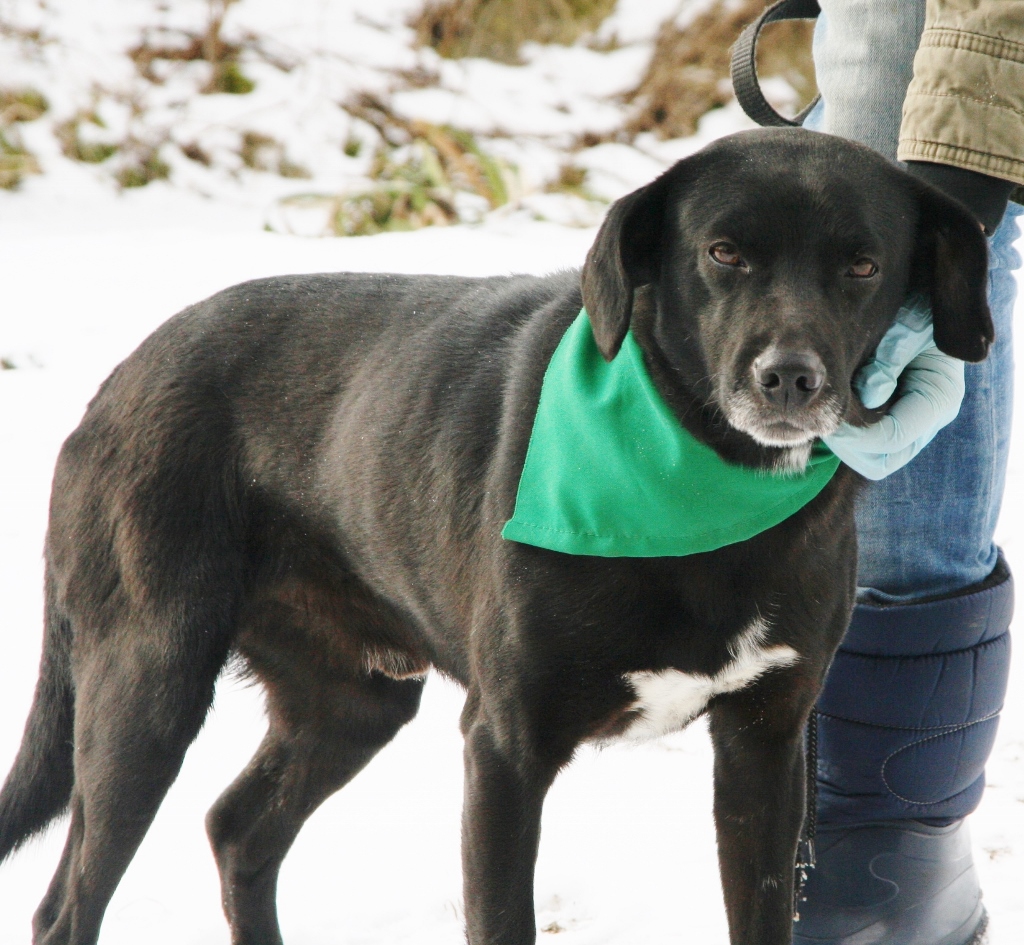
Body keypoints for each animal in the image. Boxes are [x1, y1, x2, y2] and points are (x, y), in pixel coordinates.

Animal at [0, 127, 991, 945]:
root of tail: (119, 377)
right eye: (722, 253)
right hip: (146, 687)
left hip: (351, 701)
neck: (702, 483)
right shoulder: (505, 747)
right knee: (66, 908)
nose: (789, 378)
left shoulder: (765, 747)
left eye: (862, 266)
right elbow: (502, 916)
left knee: (238, 829)